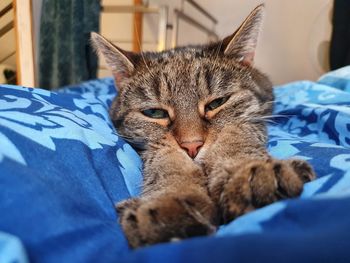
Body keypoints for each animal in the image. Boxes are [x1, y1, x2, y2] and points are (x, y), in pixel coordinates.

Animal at [91, 5, 316, 251]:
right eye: (155, 113)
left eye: (217, 103)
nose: (192, 146)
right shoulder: (152, 149)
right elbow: (164, 162)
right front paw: (169, 202)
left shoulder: (252, 123)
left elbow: (235, 134)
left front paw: (248, 170)